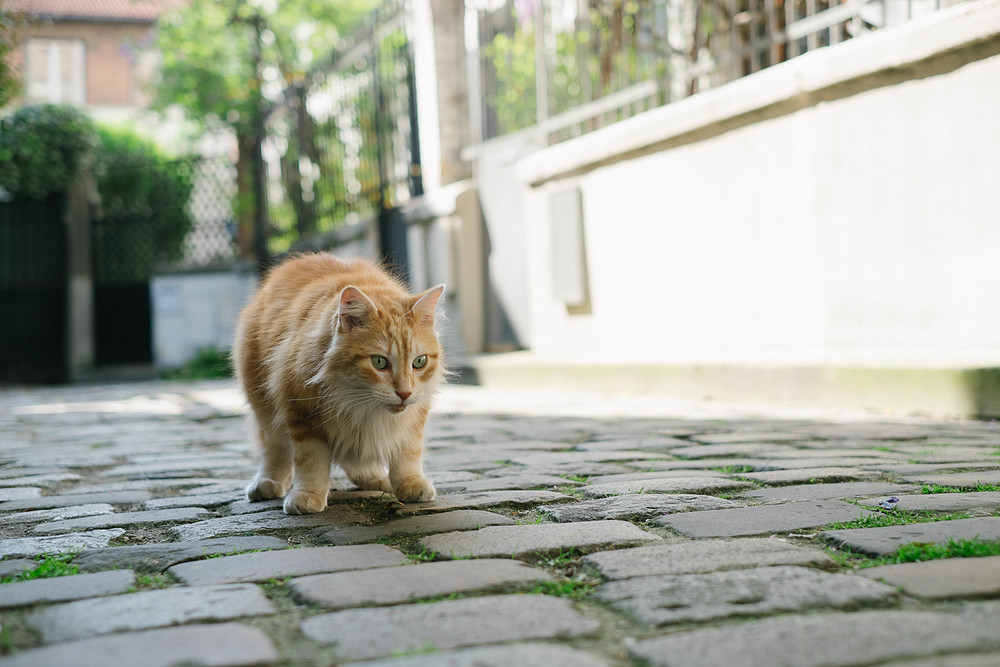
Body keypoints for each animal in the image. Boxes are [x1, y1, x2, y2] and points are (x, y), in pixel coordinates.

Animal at [234, 253, 446, 516]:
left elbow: (408, 453)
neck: (360, 405)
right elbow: (311, 463)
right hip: (263, 407)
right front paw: (308, 496)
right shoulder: (301, 414)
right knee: (273, 451)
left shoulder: (414, 415)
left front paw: (410, 483)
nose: (404, 393)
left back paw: (375, 478)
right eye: (379, 362)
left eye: (419, 362)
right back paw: (267, 483)